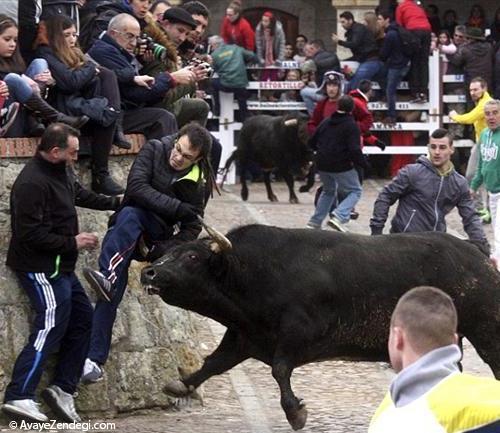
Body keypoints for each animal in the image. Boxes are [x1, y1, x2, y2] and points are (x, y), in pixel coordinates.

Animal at [140, 226, 500, 428]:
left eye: (191, 257)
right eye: (171, 251)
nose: (148, 273)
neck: (251, 272)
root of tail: (477, 254)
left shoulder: (297, 334)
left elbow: (280, 370)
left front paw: (295, 413)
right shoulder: (243, 339)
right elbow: (212, 364)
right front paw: (180, 385)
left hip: (486, 328)